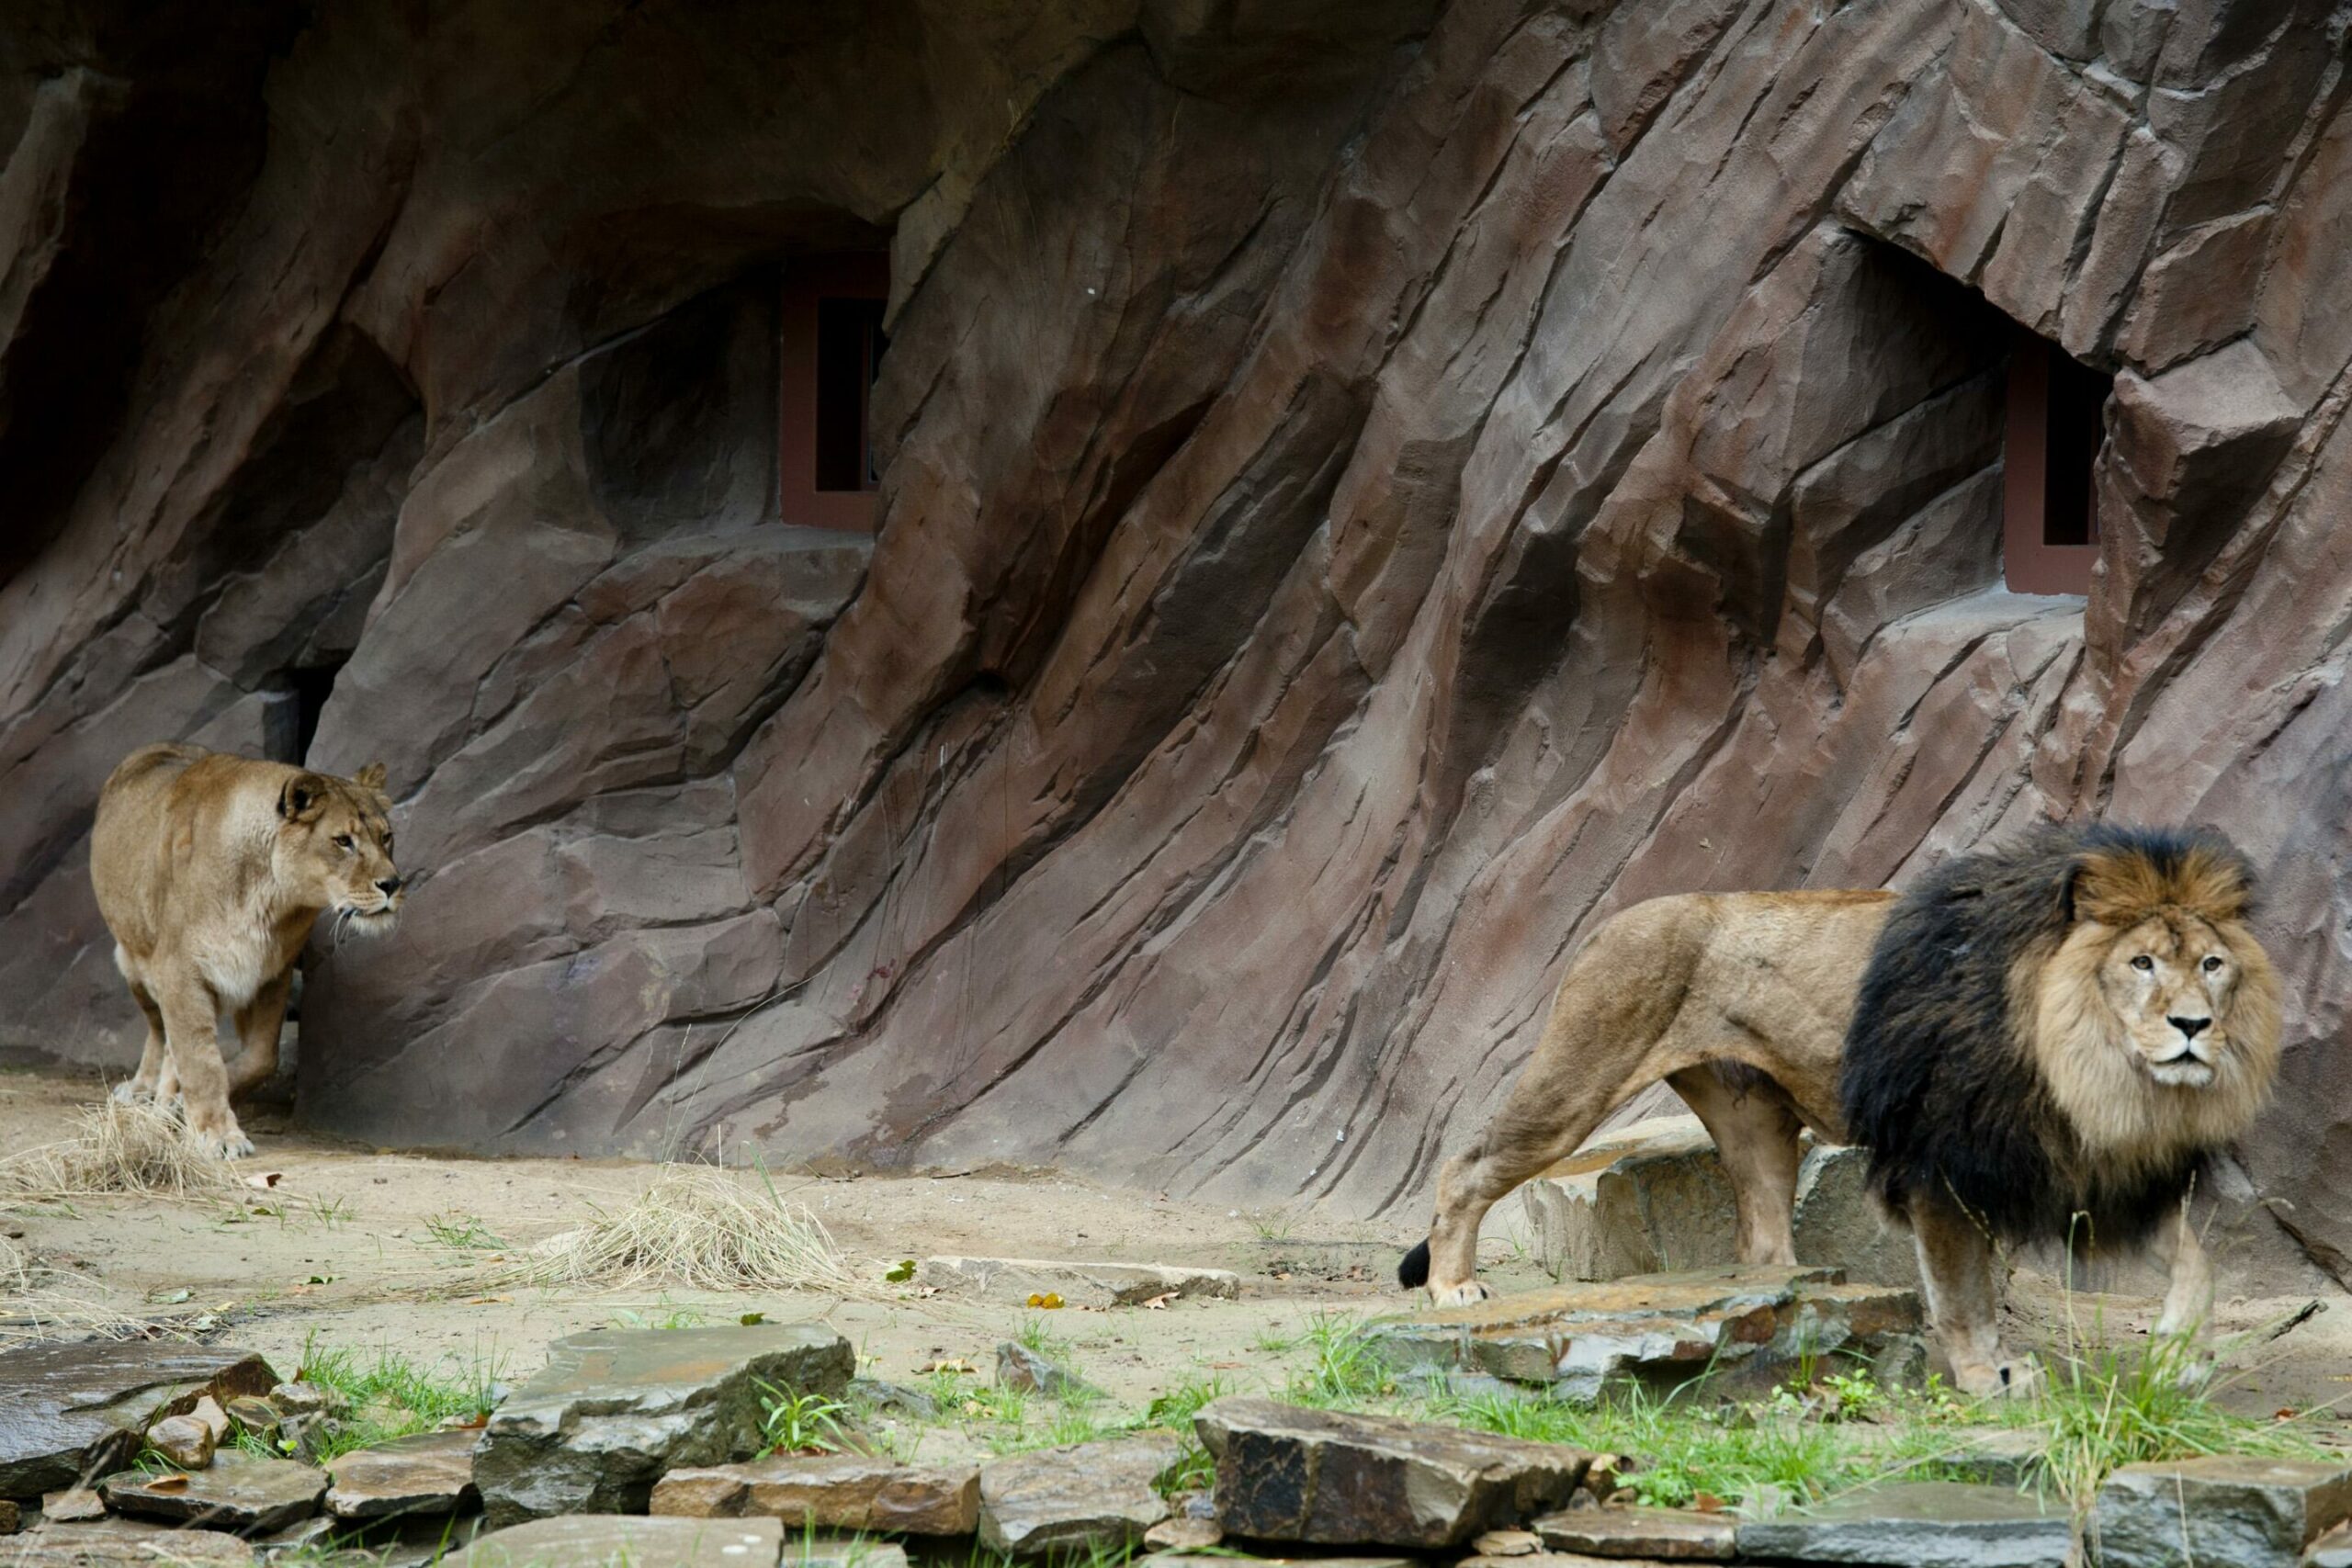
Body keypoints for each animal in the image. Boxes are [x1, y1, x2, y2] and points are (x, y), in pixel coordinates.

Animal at [90, 744, 404, 1159]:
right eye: (342, 841)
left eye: (386, 837)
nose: (393, 884)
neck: (271, 897)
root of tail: (153, 748)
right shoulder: (178, 971)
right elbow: (202, 1062)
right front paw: (218, 1134)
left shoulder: (268, 973)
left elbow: (258, 1058)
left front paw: (184, 1108)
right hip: (133, 959)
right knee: (158, 1030)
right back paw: (142, 1090)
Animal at [1397, 824, 2282, 1396]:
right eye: (2141, 963)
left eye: (2211, 963)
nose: (2195, 1025)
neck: (2089, 1064)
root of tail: (1605, 922)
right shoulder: (1940, 1164)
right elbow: (1961, 1291)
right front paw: (1983, 1376)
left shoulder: (2067, 1161)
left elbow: (2196, 1259)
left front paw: (2181, 1354)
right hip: (1583, 1069)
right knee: (1465, 1166)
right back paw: (1452, 1286)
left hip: (1757, 1124)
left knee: (1761, 1241)